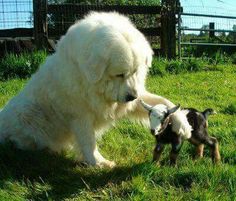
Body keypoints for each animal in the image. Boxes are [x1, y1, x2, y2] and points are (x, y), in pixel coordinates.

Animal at [0, 11, 192, 167]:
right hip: (27, 112)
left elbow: (165, 102)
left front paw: (183, 124)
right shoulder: (80, 115)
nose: (132, 96)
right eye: (119, 74)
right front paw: (98, 163)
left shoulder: (134, 99)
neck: (92, 82)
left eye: (135, 71)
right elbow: (88, 140)